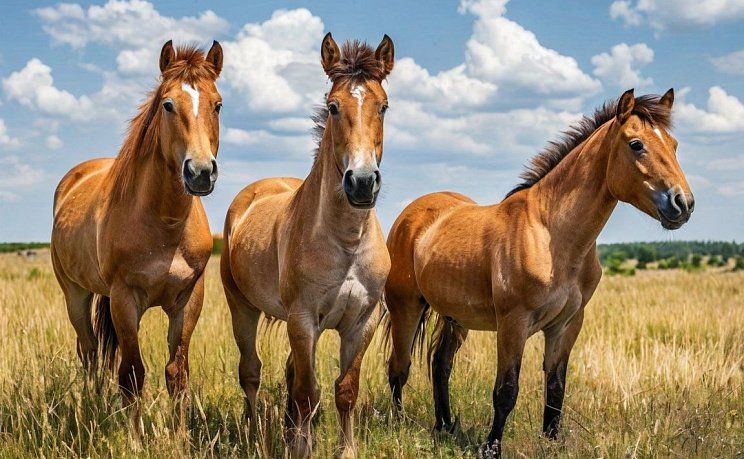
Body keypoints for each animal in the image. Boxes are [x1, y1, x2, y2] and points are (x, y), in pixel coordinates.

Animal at [52, 40, 222, 406]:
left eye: (217, 105)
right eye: (168, 104)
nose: (200, 172)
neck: (165, 225)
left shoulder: (189, 300)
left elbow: (177, 373)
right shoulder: (124, 299)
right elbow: (131, 375)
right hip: (74, 293)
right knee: (89, 352)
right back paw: (92, 403)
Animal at [221, 34, 396, 458]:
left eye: (383, 106)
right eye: (333, 107)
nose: (361, 182)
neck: (345, 242)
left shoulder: (361, 323)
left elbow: (344, 391)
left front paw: (343, 449)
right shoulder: (302, 321)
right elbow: (306, 393)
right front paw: (301, 448)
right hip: (243, 308)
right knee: (251, 373)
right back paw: (254, 431)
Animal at [386, 89, 696, 456]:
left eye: (674, 144)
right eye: (636, 144)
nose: (682, 203)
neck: (551, 234)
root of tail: (411, 214)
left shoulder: (567, 325)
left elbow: (556, 387)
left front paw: (551, 442)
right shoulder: (513, 323)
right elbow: (506, 391)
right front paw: (491, 448)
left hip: (455, 318)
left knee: (440, 366)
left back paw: (445, 426)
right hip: (406, 307)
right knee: (399, 368)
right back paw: (398, 425)